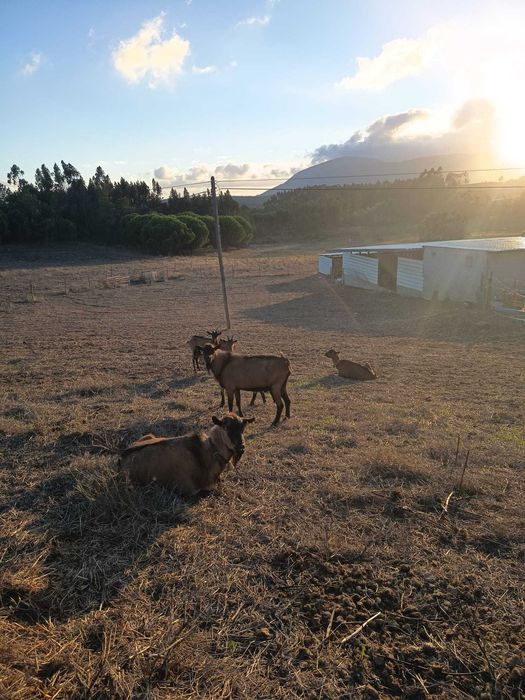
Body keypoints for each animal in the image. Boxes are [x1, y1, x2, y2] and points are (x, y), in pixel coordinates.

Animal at [120, 413, 255, 496]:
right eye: (226, 427)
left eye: (243, 428)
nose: (241, 447)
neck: (209, 451)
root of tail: (121, 459)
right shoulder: (192, 490)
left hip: (150, 436)